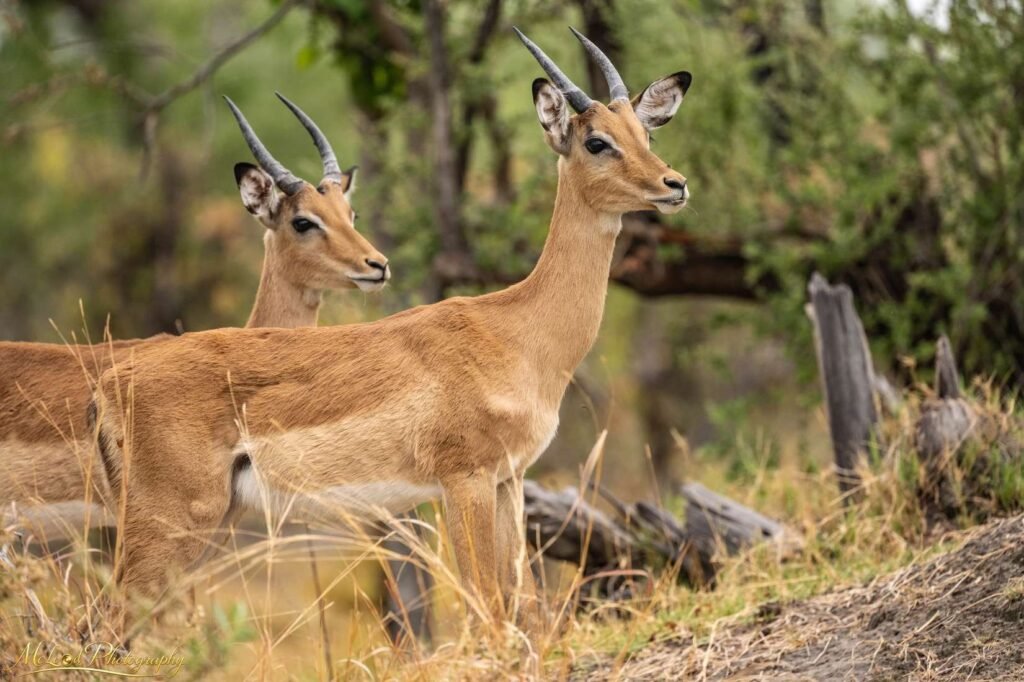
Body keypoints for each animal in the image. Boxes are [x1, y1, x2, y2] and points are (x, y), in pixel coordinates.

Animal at [92, 28, 691, 634]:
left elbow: (518, 604)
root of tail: (111, 382)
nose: (675, 183)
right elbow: (486, 605)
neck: (518, 330)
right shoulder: (465, 480)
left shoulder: (508, 480)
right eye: (596, 141)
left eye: (644, 131)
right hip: (170, 524)